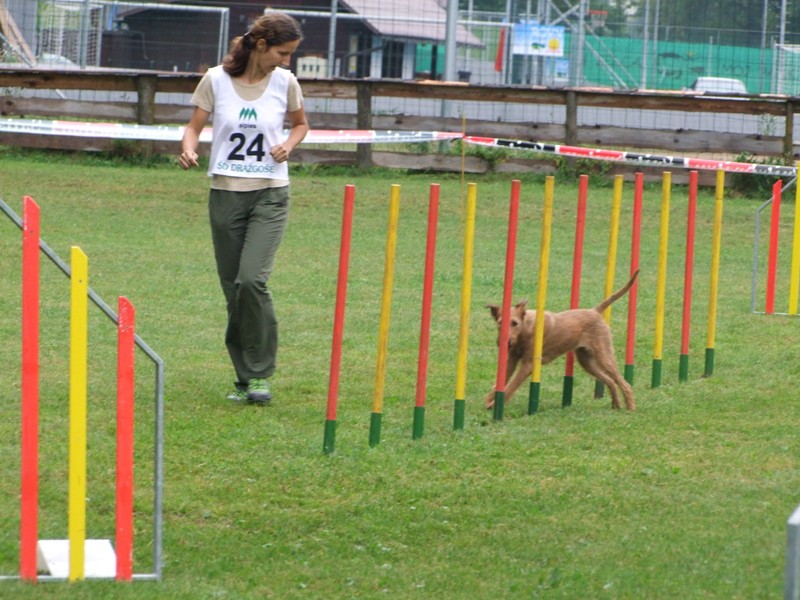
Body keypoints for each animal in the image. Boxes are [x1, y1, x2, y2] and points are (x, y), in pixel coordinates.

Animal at [484, 272, 640, 412]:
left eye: (514, 323)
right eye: (500, 323)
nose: (505, 342)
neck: (525, 329)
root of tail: (595, 311)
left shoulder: (528, 364)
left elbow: (511, 386)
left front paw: (493, 405)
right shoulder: (511, 360)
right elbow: (500, 383)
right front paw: (490, 401)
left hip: (604, 356)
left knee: (624, 383)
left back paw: (631, 407)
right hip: (586, 361)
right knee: (611, 381)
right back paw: (616, 404)